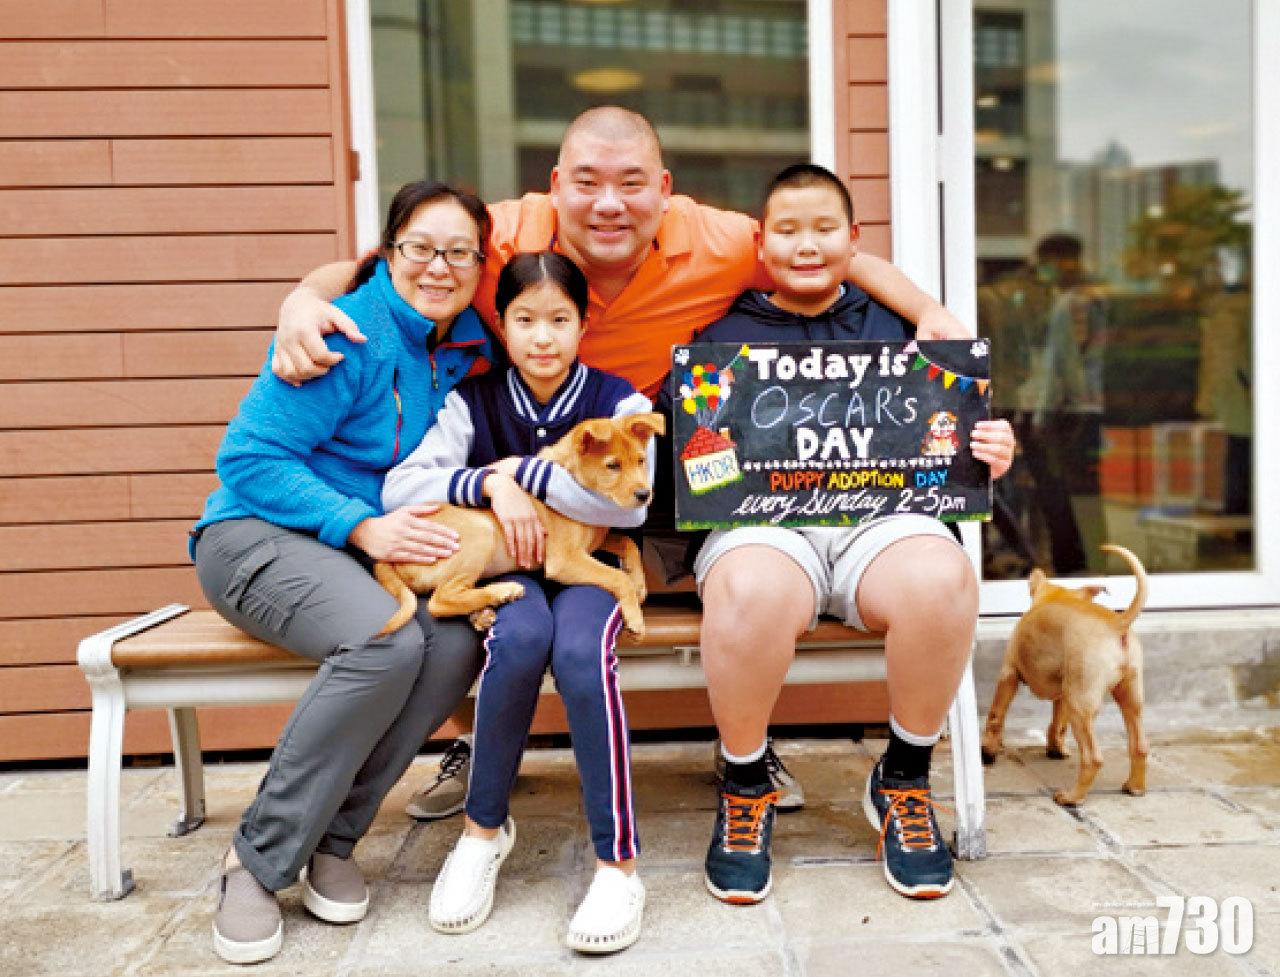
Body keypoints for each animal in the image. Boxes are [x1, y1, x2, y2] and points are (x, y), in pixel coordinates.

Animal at [374, 412, 665, 638]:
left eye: (641, 460)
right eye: (612, 466)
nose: (645, 494)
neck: (576, 487)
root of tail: (388, 557)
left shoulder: (592, 543)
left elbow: (628, 543)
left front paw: (639, 584)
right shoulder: (564, 559)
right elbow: (616, 576)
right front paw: (635, 615)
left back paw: (483, 612)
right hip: (482, 532)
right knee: (439, 599)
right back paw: (504, 590)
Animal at [981, 544, 1149, 806]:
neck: (1055, 596)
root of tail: (1117, 623)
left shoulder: (1008, 674)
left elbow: (996, 716)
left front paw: (987, 752)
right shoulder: (1062, 695)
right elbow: (1057, 725)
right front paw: (1055, 750)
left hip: (1081, 706)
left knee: (1093, 758)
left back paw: (1072, 797)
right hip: (1127, 698)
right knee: (1139, 745)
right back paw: (1135, 787)